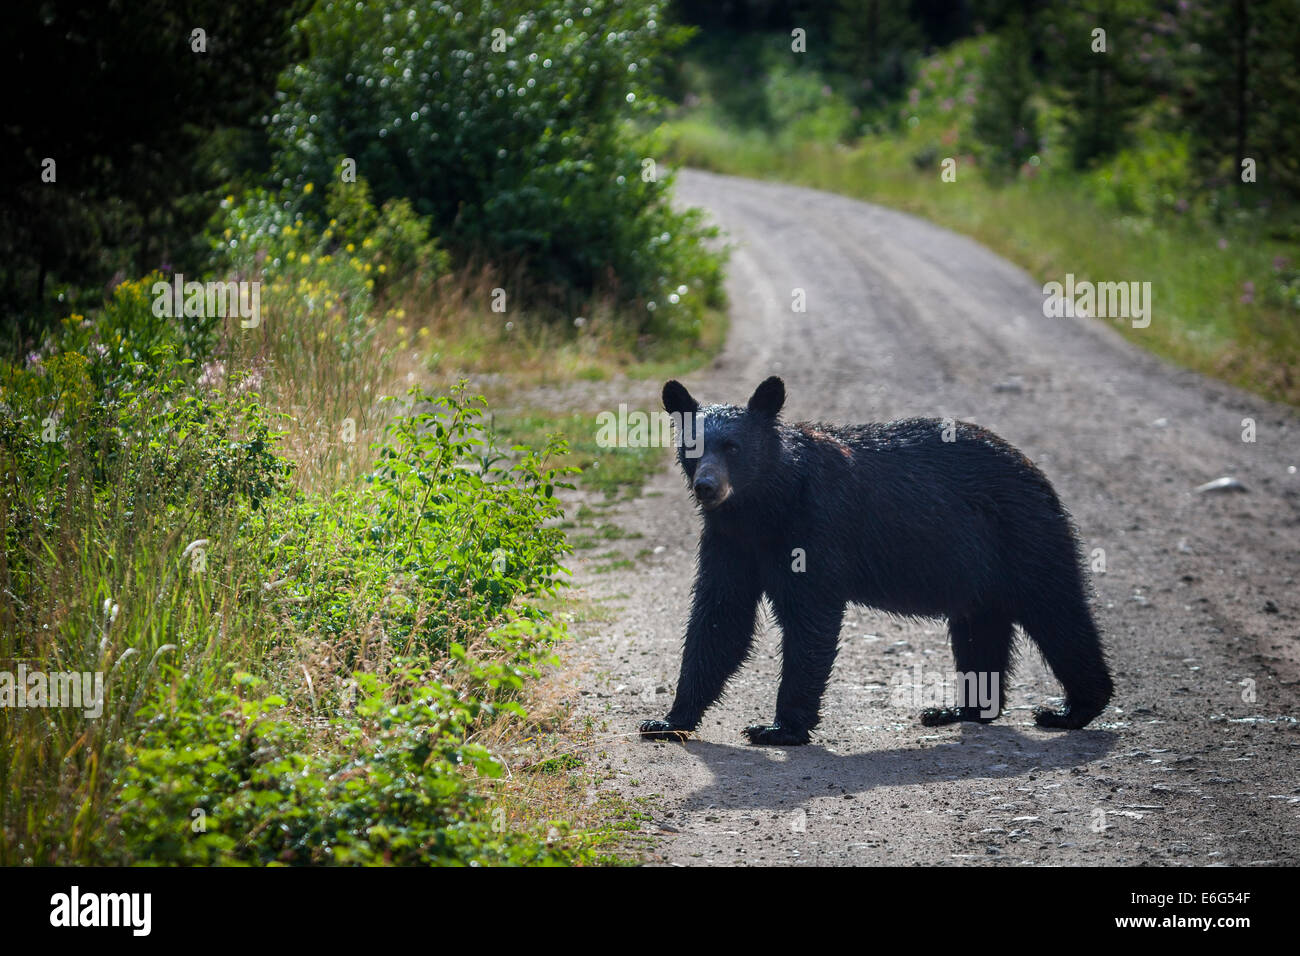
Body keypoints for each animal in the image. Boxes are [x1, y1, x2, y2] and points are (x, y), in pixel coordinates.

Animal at [639, 376, 1113, 746]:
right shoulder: (730, 542)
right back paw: (960, 710)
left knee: (1057, 613)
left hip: (1025, 537)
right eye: (693, 446)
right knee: (980, 629)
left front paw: (779, 728)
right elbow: (721, 617)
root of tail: (1035, 471)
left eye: (733, 447)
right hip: (979, 572)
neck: (765, 506)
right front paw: (668, 720)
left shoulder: (815, 527)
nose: (707, 486)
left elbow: (809, 617)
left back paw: (1071, 710)